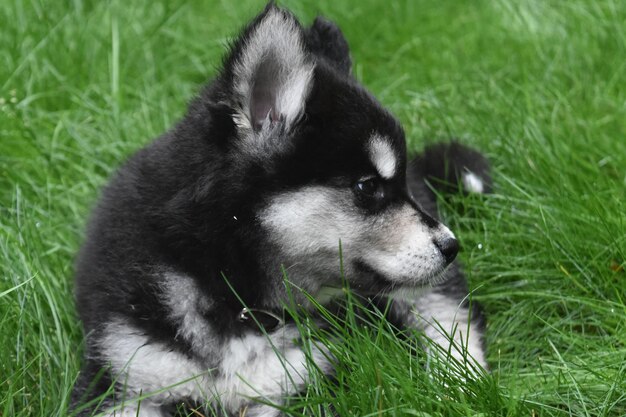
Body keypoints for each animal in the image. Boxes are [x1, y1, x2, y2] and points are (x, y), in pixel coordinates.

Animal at [70, 4, 490, 416]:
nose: (452, 246)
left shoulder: (300, 379)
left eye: (394, 185)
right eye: (368, 187)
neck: (234, 294)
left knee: (452, 324)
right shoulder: (125, 377)